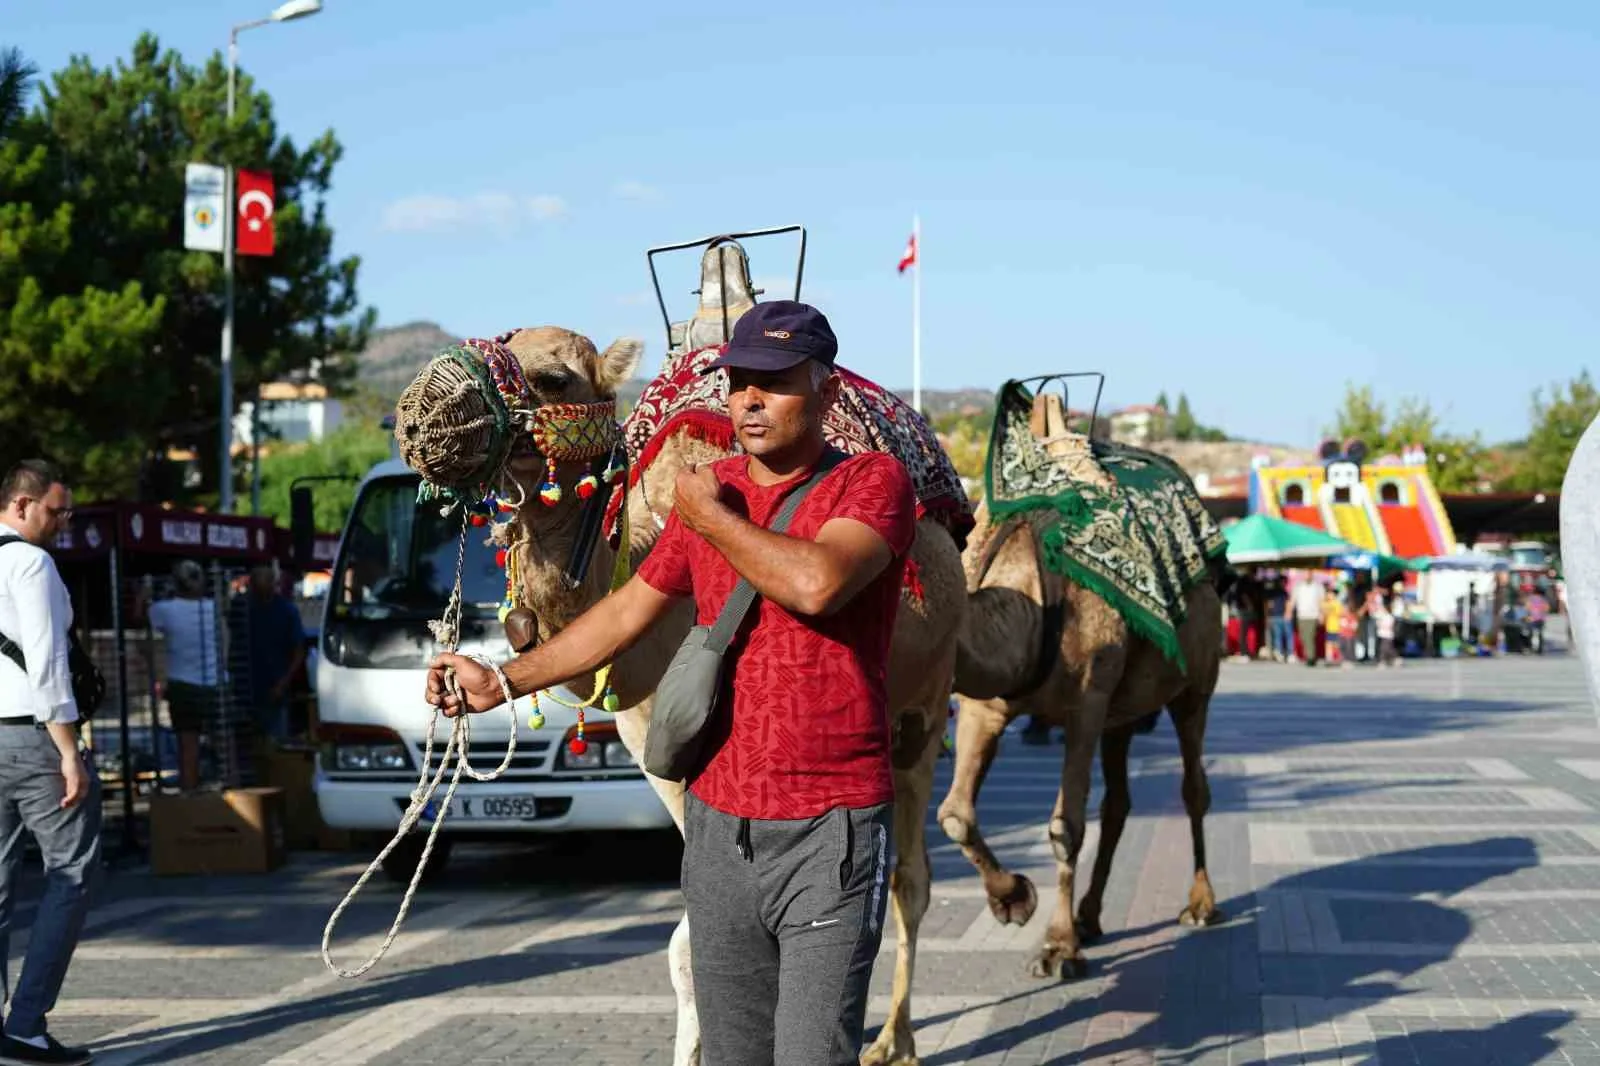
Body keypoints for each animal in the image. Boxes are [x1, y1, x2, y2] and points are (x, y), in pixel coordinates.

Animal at [934, 385, 1222, 973]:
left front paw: (1057, 946)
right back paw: (1091, 915)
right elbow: (954, 815)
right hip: (1123, 711)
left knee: (1193, 786)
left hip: (1195, 686)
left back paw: (1200, 904)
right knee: (1119, 803)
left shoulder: (1086, 701)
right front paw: (1014, 900)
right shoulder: (984, 704)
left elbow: (1065, 827)